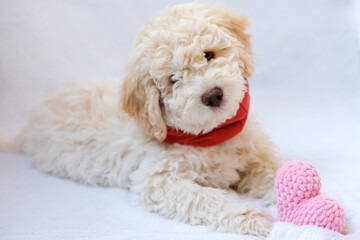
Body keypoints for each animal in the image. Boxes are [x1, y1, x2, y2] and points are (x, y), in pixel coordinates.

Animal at [0, 2, 282, 237]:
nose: (213, 95)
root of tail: (29, 126)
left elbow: (276, 174)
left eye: (209, 55)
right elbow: (205, 198)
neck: (213, 135)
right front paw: (251, 217)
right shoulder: (157, 180)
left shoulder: (256, 156)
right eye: (173, 79)